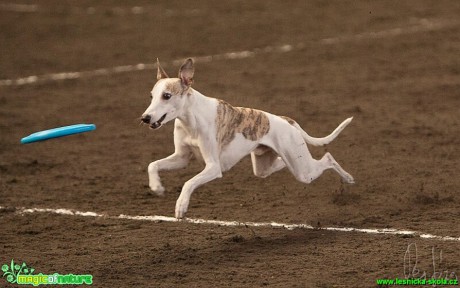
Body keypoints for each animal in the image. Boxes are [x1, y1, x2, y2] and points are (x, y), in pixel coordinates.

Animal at [138, 58, 354, 218]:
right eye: (151, 96)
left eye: (166, 95)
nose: (145, 118)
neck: (191, 118)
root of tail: (288, 120)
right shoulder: (181, 158)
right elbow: (152, 165)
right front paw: (157, 187)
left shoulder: (213, 167)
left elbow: (188, 182)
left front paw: (181, 206)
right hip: (266, 166)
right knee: (283, 163)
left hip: (303, 171)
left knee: (327, 158)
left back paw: (349, 179)